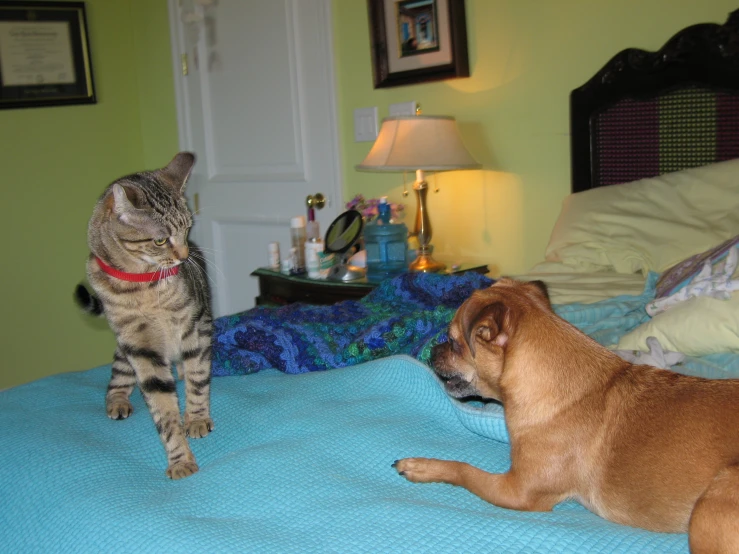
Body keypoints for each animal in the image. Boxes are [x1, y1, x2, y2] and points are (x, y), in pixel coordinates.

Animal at [76, 152, 214, 478]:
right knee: (117, 378)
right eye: (160, 240)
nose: (185, 256)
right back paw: (117, 402)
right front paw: (180, 460)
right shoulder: (140, 348)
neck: (142, 285)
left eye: (187, 229)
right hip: (124, 352)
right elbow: (162, 409)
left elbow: (198, 377)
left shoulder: (196, 327)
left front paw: (196, 418)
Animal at [396, 278, 739, 548]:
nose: (432, 350)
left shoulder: (517, 491)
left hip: (712, 504)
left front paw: (422, 466)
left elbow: (463, 470)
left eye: (453, 342)